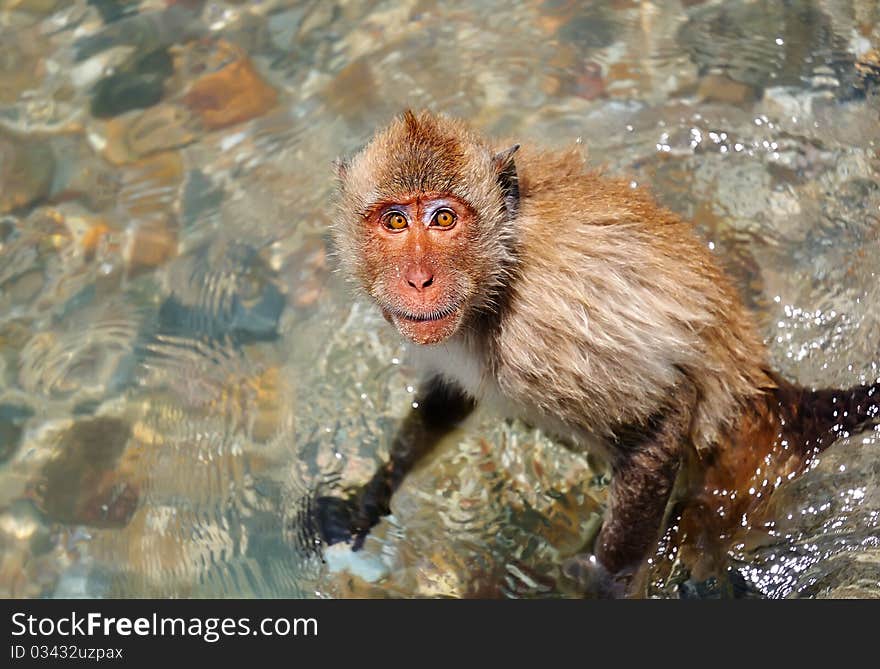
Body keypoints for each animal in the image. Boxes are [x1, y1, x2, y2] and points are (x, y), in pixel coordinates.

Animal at [316, 109, 880, 596]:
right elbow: (446, 400)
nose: (418, 279)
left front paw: (600, 583)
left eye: (444, 219)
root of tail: (770, 395)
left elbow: (662, 419)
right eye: (394, 221)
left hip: (741, 472)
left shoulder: (544, 333)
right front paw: (371, 497)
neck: (497, 277)